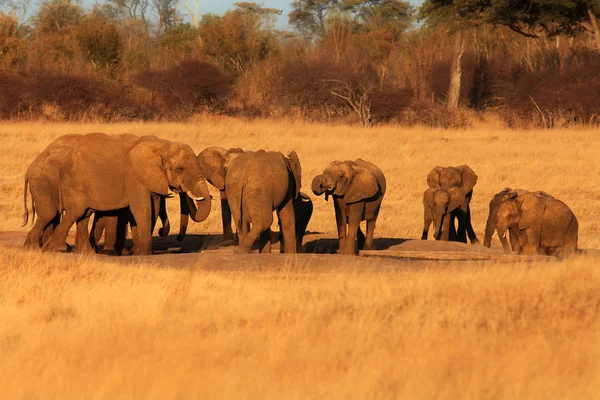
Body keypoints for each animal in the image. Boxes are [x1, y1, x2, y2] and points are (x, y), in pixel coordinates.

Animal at [41, 133, 211, 255]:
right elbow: (142, 209)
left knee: (84, 214)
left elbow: (153, 209)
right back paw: (53, 249)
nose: (176, 237)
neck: (163, 145)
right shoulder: (134, 177)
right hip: (74, 180)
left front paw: (139, 252)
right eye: (180, 169)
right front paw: (144, 254)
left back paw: (85, 252)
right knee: (76, 211)